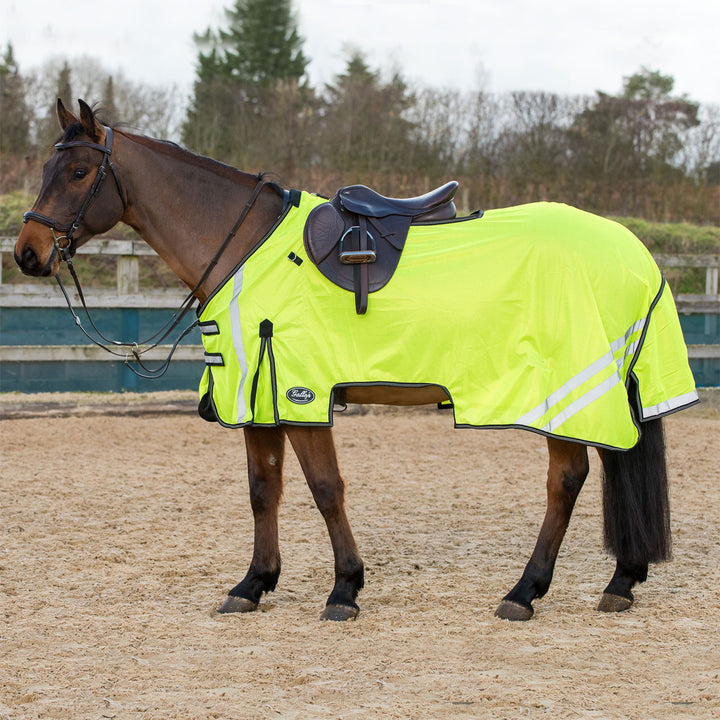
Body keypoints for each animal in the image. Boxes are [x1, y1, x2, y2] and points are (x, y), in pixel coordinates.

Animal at [12, 98, 696, 620]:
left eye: (79, 171)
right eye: (48, 166)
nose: (27, 251)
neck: (245, 244)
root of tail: (631, 248)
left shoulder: (302, 394)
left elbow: (325, 489)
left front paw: (344, 588)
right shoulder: (259, 397)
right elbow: (264, 489)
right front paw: (253, 584)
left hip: (565, 392)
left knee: (567, 480)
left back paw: (526, 592)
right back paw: (621, 580)